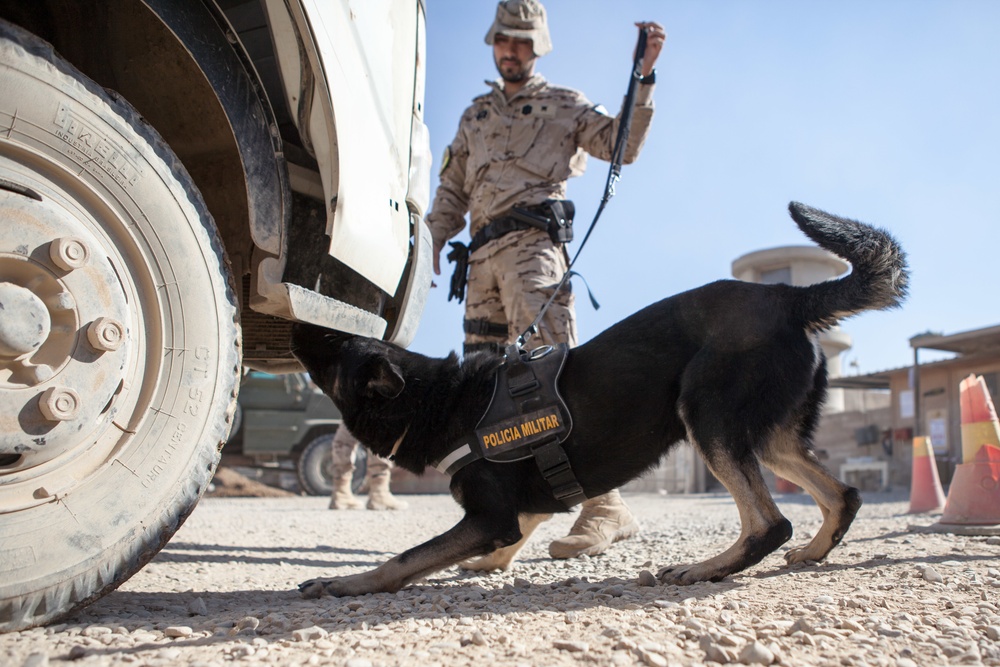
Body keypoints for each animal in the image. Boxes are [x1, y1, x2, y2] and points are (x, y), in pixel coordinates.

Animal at [290, 201, 908, 596]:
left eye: (334, 346)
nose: (299, 321)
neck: (442, 400)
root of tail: (787, 295)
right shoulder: (520, 508)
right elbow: (517, 533)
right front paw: (489, 565)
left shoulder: (489, 515)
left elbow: (408, 557)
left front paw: (344, 582)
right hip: (770, 436)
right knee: (843, 494)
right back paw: (814, 551)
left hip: (706, 416)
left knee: (770, 523)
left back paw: (705, 569)